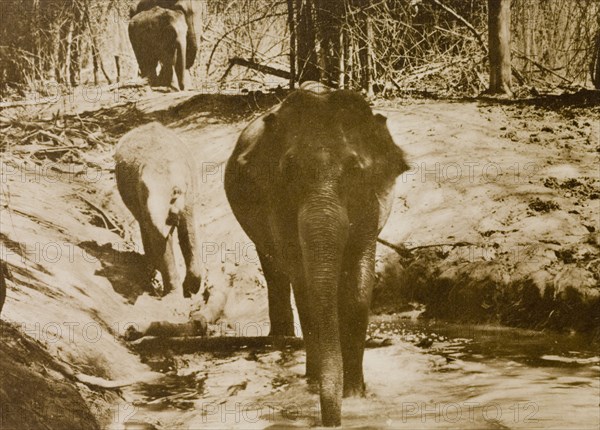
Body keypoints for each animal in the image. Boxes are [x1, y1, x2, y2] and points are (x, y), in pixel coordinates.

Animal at [113, 122, 203, 298]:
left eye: (175, 193)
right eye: (144, 191)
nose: (170, 220)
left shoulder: (189, 196)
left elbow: (188, 232)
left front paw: (191, 289)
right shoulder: (142, 201)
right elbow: (159, 238)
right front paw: (174, 295)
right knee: (144, 226)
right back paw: (151, 268)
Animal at [223, 81, 410, 426]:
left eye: (355, 170)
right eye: (288, 170)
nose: (332, 423)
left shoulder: (373, 204)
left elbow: (359, 284)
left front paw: (356, 395)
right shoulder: (275, 203)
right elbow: (304, 284)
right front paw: (313, 386)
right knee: (274, 267)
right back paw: (282, 340)